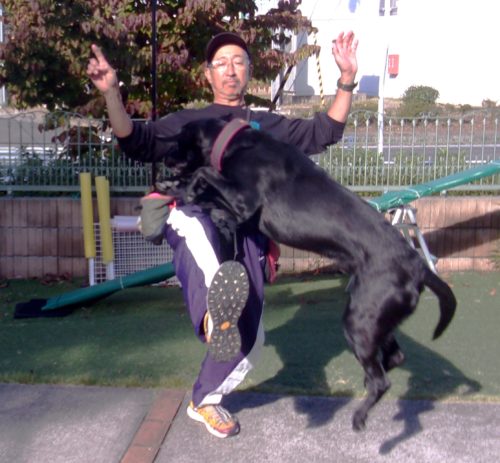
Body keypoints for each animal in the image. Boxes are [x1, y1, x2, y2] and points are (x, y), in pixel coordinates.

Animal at [157, 117, 457, 431]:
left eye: (179, 139)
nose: (164, 159)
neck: (236, 144)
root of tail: (417, 265)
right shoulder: (240, 213)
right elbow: (209, 192)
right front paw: (178, 188)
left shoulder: (244, 201)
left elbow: (205, 172)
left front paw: (187, 187)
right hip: (377, 318)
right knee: (395, 357)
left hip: (360, 320)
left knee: (381, 381)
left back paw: (360, 415)